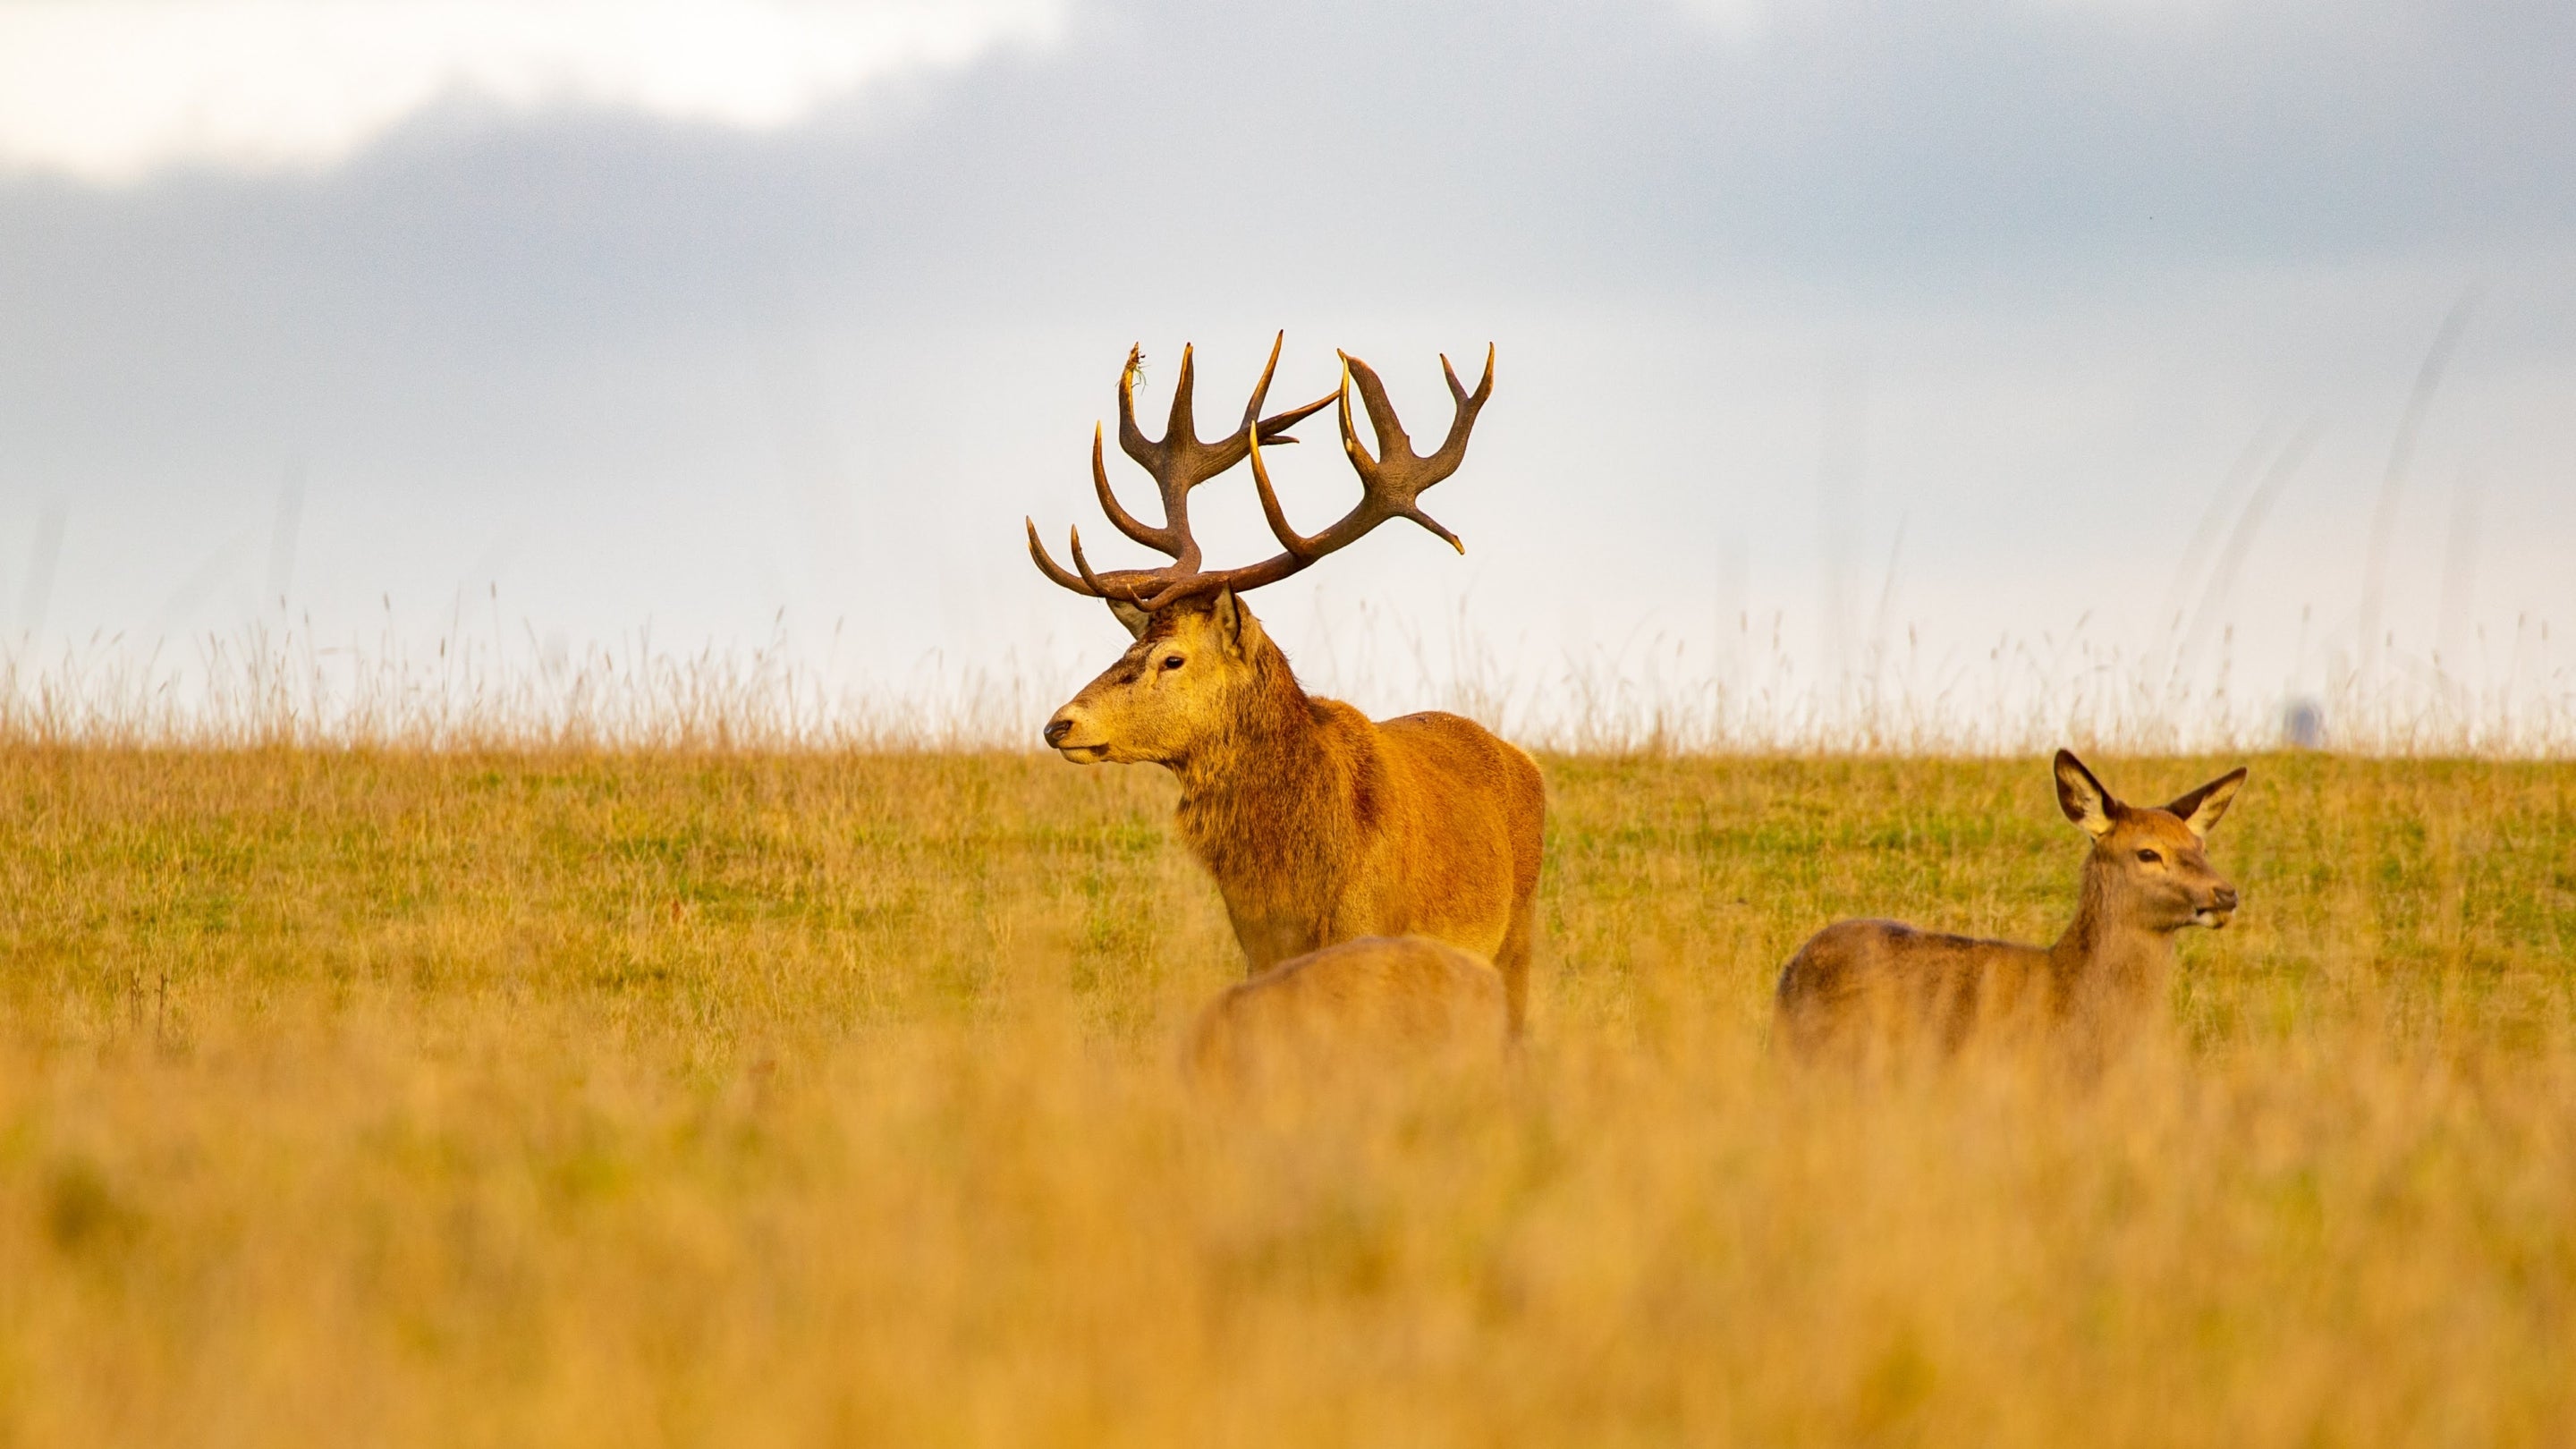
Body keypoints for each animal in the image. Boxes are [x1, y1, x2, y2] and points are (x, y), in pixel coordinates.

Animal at [1028, 334, 1547, 1032]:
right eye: (1130, 645)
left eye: (1173, 659)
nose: (1062, 723)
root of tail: (1524, 762)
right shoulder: (1260, 952)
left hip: (1515, 935)